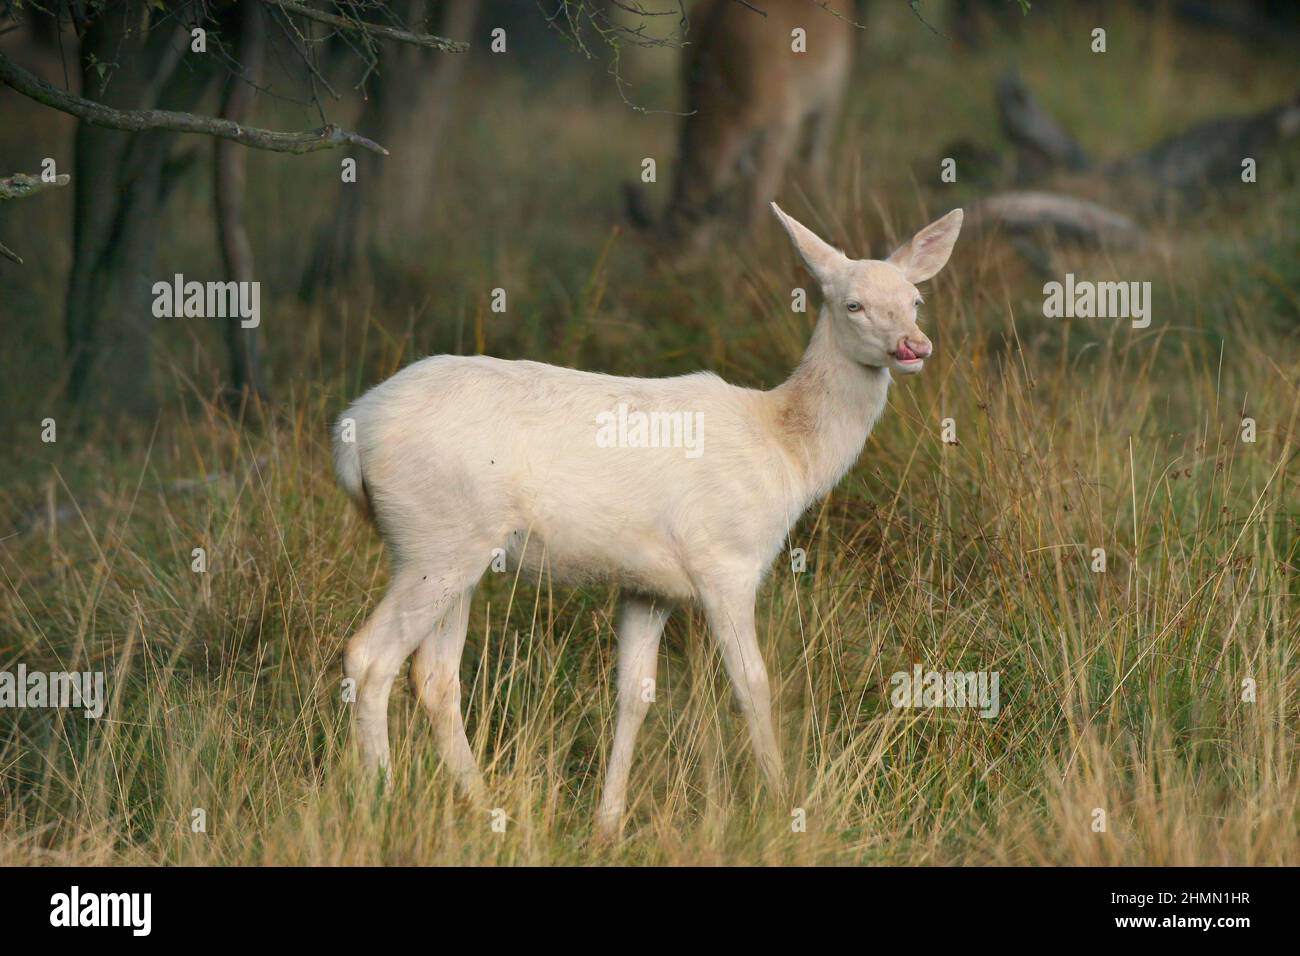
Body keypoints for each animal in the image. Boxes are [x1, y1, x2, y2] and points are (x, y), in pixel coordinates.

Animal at [334, 203, 963, 838]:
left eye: (915, 299)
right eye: (852, 303)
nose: (915, 346)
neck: (787, 454)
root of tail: (351, 435)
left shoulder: (648, 585)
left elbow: (634, 695)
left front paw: (607, 821)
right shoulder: (725, 562)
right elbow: (753, 683)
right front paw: (782, 803)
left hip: (457, 550)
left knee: (435, 676)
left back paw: (484, 803)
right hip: (435, 537)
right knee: (370, 657)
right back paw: (379, 802)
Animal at [625, 0, 855, 258]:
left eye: (684, 248)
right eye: (648, 255)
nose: (661, 268)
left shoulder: (780, 124)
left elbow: (757, 200)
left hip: (831, 96)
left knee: (814, 157)